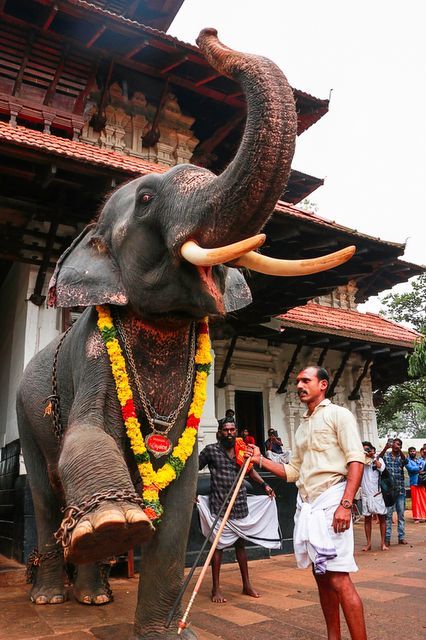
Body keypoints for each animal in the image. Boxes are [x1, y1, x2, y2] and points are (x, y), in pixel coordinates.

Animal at [16, 28, 352, 640]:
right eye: (147, 199)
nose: (209, 35)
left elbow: (177, 511)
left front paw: (168, 631)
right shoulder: (91, 353)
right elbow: (84, 436)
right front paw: (114, 521)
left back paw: (95, 597)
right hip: (26, 413)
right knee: (43, 491)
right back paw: (53, 597)